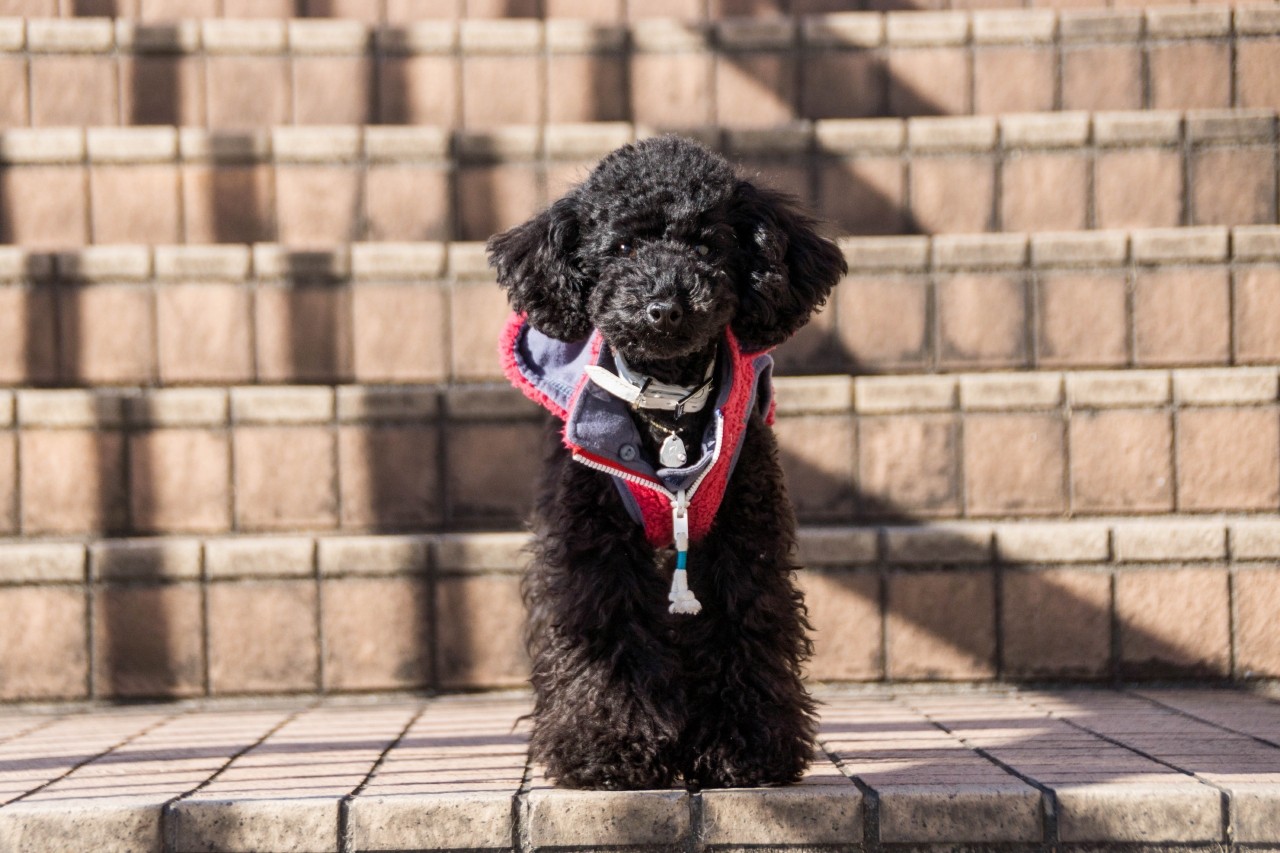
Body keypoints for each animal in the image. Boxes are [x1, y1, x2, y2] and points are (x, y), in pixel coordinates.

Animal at [488, 135, 846, 790]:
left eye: (707, 245)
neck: (668, 400)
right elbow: (608, 632)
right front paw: (610, 749)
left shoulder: (742, 533)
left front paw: (745, 749)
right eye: (623, 248)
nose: (665, 307)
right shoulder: (594, 542)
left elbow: (743, 623)